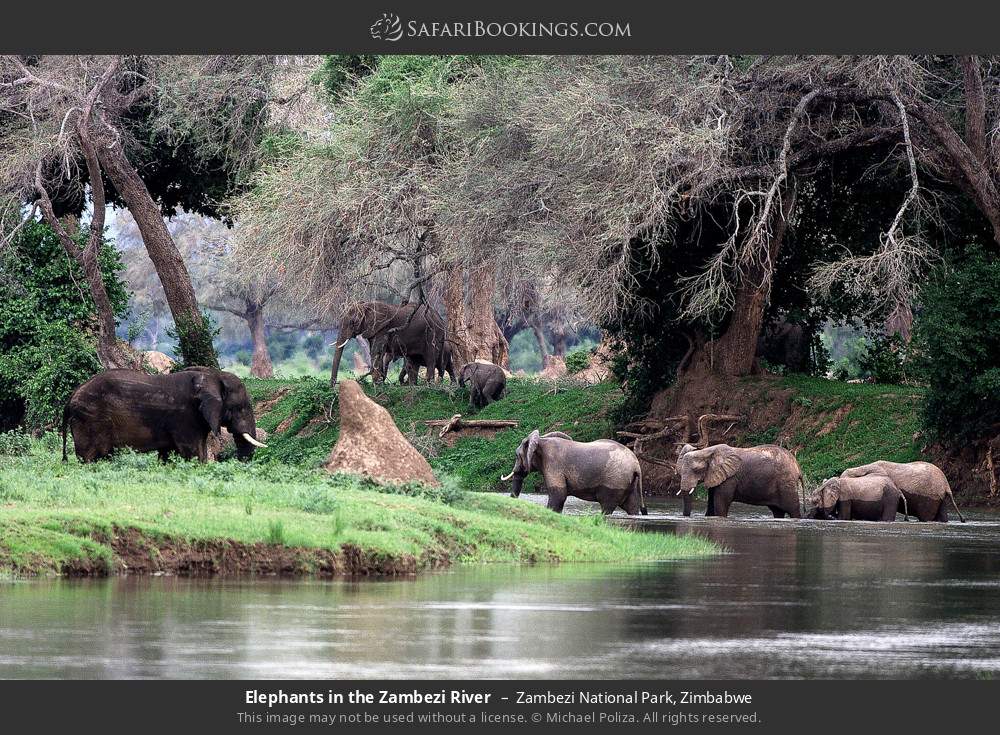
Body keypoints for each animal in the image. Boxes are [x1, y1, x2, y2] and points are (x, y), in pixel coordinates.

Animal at [62, 368, 267, 463]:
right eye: (240, 407)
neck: (213, 376)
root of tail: (71, 396)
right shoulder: (185, 416)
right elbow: (193, 452)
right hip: (90, 419)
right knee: (90, 456)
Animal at [502, 429, 648, 515]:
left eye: (517, 455)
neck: (541, 440)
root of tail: (636, 465)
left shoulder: (553, 464)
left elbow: (558, 495)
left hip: (615, 481)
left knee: (607, 507)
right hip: (629, 482)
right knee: (632, 507)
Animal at [676, 443, 804, 518]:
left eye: (697, 470)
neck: (706, 451)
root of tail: (797, 467)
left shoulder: (729, 478)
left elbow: (721, 502)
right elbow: (711, 502)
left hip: (786, 483)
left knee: (793, 510)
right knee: (778, 511)